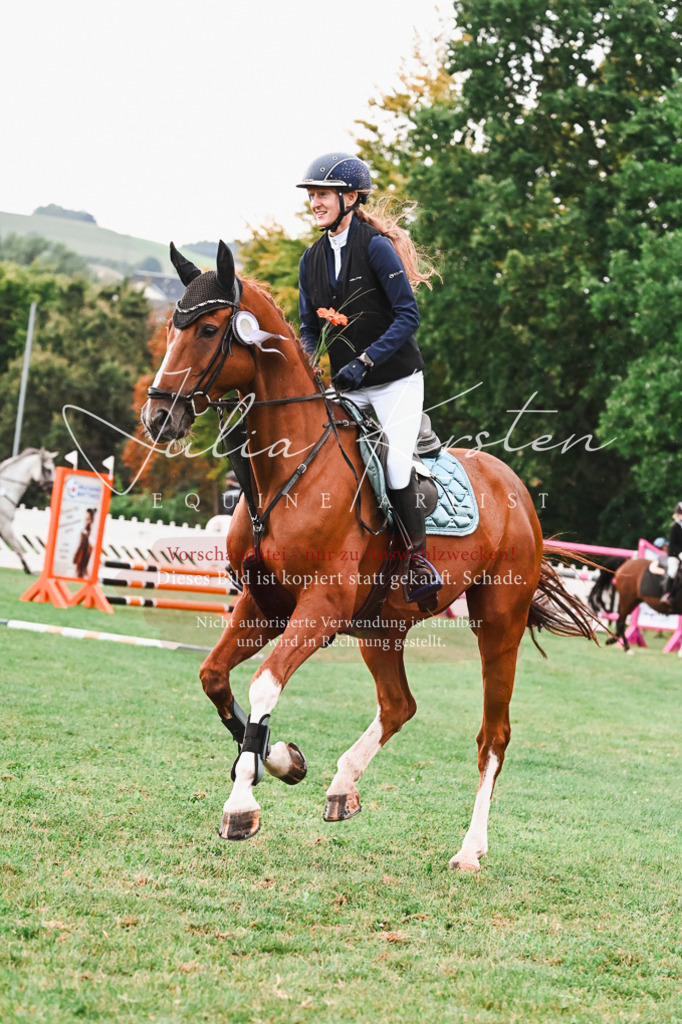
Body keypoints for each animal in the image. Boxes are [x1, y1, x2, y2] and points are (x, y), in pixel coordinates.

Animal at [141, 241, 597, 871]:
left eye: (209, 329)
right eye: (170, 328)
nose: (158, 418)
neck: (287, 471)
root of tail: (517, 490)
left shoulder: (322, 607)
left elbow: (263, 684)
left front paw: (242, 805)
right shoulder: (264, 605)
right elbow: (215, 678)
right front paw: (283, 761)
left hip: (498, 623)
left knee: (493, 736)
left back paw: (470, 850)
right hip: (382, 627)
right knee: (399, 705)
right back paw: (341, 786)